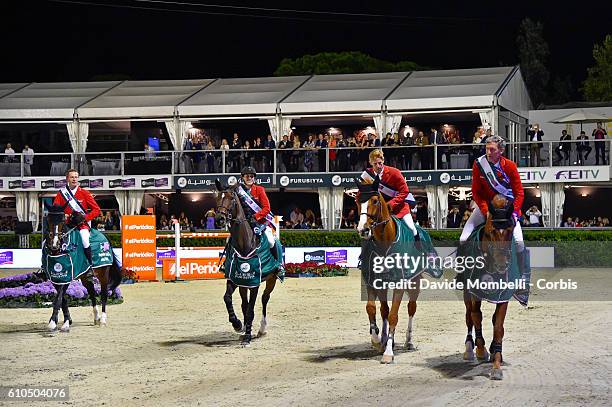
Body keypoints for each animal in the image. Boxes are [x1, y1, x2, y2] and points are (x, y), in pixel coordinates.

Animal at [43, 202, 123, 334]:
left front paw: (55, 323)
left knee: (104, 294)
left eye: (62, 220)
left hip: (103, 274)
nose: (54, 244)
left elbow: (58, 298)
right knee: (92, 293)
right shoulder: (55, 278)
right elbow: (62, 299)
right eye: (48, 219)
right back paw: (96, 318)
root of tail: (104, 236)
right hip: (85, 276)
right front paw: (66, 321)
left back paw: (103, 320)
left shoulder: (67, 276)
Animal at [215, 182, 280, 348]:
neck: (245, 243)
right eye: (217, 197)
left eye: (232, 198)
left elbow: (251, 309)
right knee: (244, 303)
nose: (219, 219)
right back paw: (244, 327)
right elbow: (227, 298)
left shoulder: (254, 283)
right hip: (243, 285)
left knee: (264, 299)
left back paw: (261, 329)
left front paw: (247, 338)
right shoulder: (235, 278)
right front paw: (237, 324)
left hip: (271, 280)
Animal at [354, 178, 444, 364]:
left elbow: (394, 315)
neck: (383, 242)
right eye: (357, 200)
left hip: (414, 283)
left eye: (375, 201)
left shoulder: (399, 284)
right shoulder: (373, 281)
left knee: (411, 308)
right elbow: (372, 308)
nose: (363, 230)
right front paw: (377, 340)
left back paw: (408, 341)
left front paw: (388, 352)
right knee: (384, 310)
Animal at [462, 194, 520, 380]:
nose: (502, 264)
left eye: (510, 229)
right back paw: (469, 349)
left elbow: (498, 326)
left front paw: (496, 362)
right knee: (469, 317)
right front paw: (481, 350)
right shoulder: (474, 293)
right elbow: (476, 316)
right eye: (490, 231)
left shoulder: (504, 296)